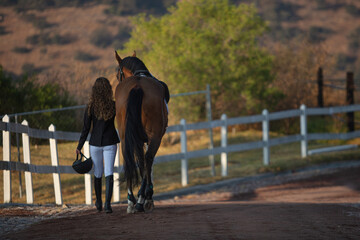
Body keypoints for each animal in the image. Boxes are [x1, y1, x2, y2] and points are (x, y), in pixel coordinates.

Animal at [114, 51, 169, 214]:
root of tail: (137, 86)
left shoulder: (136, 139)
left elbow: (139, 162)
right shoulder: (148, 139)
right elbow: (146, 163)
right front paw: (145, 197)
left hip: (125, 136)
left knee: (129, 159)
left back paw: (131, 200)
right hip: (155, 136)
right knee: (148, 158)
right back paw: (144, 198)